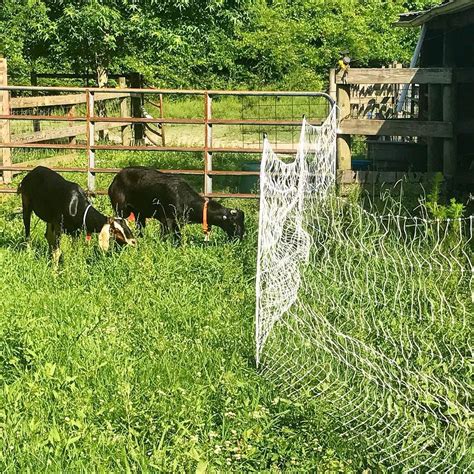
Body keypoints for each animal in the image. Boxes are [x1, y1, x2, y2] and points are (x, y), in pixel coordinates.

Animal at [108, 167, 244, 241]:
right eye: (233, 223)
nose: (240, 238)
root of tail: (115, 179)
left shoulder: (175, 222)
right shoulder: (167, 219)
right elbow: (169, 236)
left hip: (139, 213)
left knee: (140, 227)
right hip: (121, 209)